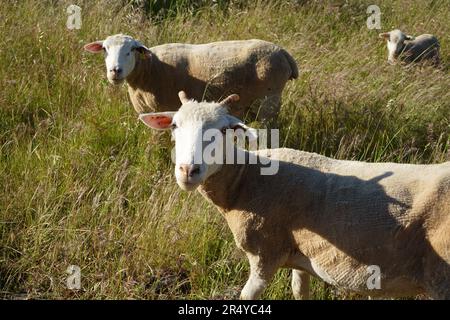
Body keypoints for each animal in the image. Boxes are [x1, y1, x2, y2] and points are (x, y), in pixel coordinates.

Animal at [84, 33, 298, 121]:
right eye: (105, 49)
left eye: (131, 50)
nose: (115, 71)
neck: (150, 68)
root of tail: (283, 52)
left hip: (269, 101)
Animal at [138, 92, 450, 300]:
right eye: (175, 126)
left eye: (226, 129)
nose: (188, 170)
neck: (245, 178)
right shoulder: (302, 254)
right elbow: (300, 290)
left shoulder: (265, 252)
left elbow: (247, 295)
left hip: (440, 276)